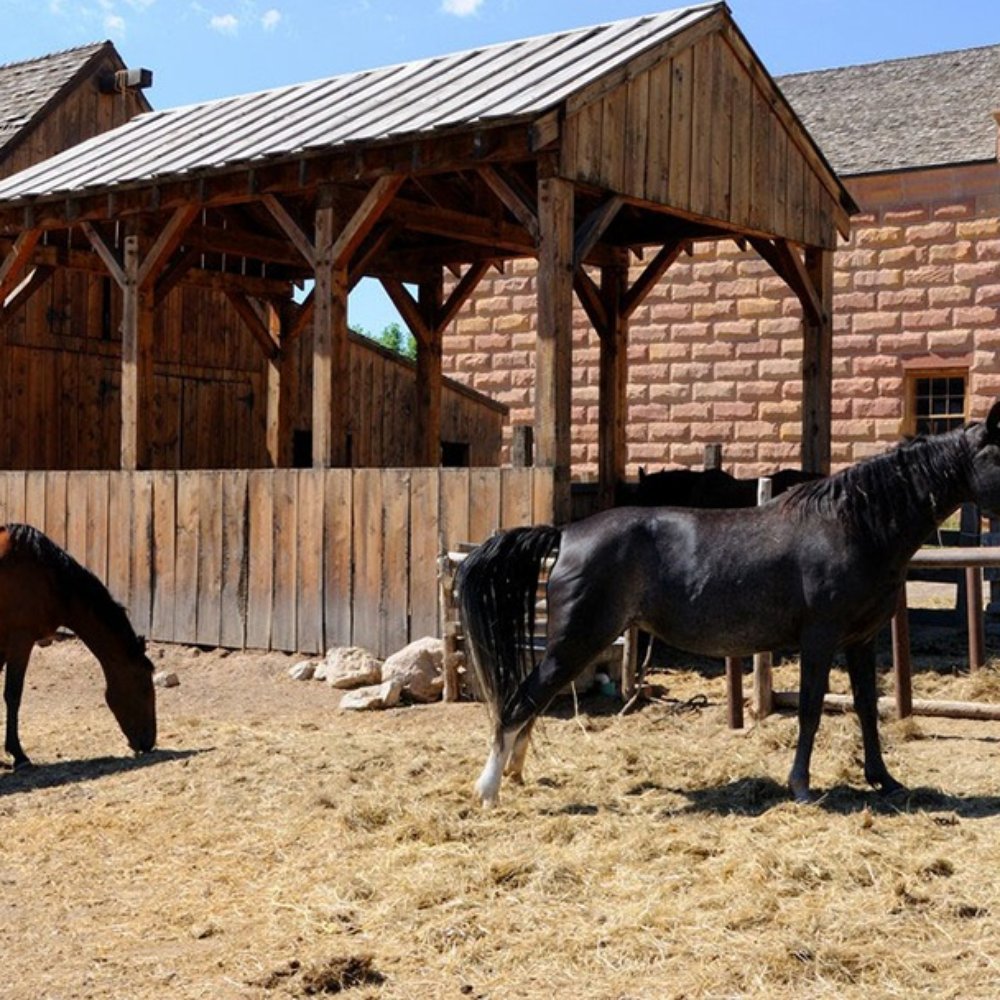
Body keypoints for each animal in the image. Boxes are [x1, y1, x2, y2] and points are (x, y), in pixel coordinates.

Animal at [457, 402, 1000, 807]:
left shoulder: (860, 640)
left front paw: (883, 779)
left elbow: (867, 708)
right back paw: (489, 790)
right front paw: (801, 787)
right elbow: (810, 708)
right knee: (519, 701)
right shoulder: (819, 638)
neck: (852, 525)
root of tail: (566, 534)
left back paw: (516, 775)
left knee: (532, 701)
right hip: (576, 641)